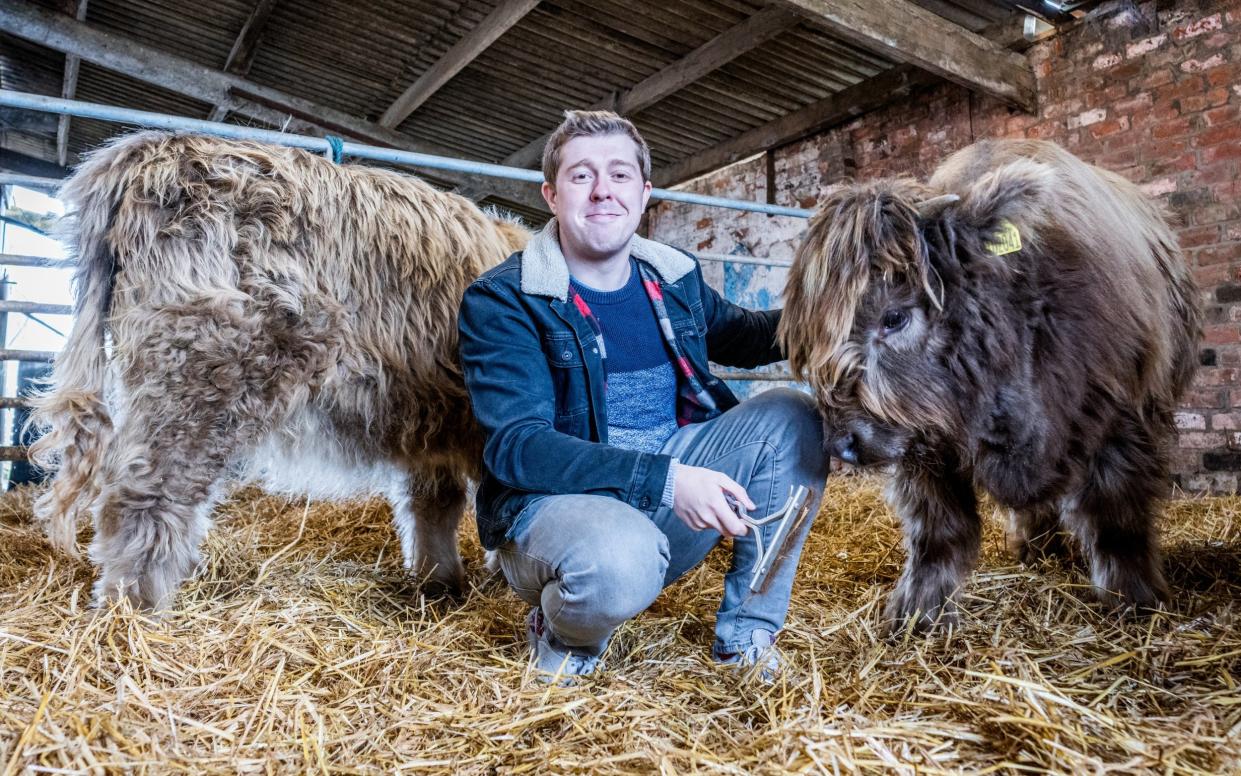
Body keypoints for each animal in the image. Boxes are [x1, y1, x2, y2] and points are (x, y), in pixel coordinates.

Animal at [32, 131, 528, 610]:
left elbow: (434, 505)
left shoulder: (431, 427)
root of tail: (162, 148)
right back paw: (133, 609)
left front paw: (438, 582)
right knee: (146, 492)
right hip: (203, 375)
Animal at [784, 139, 1201, 633]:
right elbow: (938, 532)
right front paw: (917, 612)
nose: (842, 442)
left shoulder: (1123, 420)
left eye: (895, 316)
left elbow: (1117, 519)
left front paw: (1135, 602)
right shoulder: (926, 451)